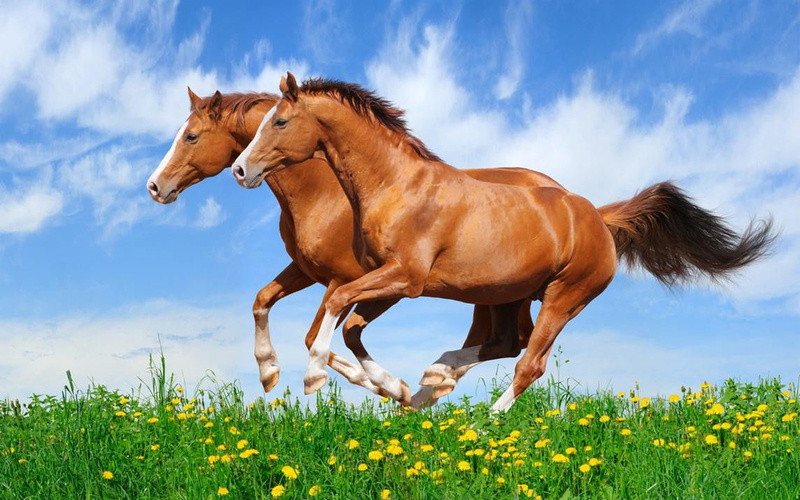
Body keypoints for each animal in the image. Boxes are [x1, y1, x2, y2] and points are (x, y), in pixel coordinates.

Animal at [146, 88, 571, 406]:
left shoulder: (349, 279)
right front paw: (269, 371)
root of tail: (566, 197)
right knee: (507, 341)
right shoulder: (307, 271)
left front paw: (388, 387)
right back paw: (434, 386)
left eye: (191, 136)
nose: (154, 186)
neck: (324, 190)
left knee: (508, 343)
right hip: (499, 294)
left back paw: (429, 387)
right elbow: (263, 300)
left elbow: (316, 336)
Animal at [232, 73, 776, 412]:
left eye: (280, 121)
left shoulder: (404, 278)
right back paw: (433, 380)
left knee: (528, 362)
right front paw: (397, 387)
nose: (240, 169)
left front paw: (312, 377)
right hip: (506, 294)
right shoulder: (383, 279)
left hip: (564, 297)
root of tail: (597, 218)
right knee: (503, 343)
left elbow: (336, 308)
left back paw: (485, 417)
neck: (397, 185)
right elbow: (347, 324)